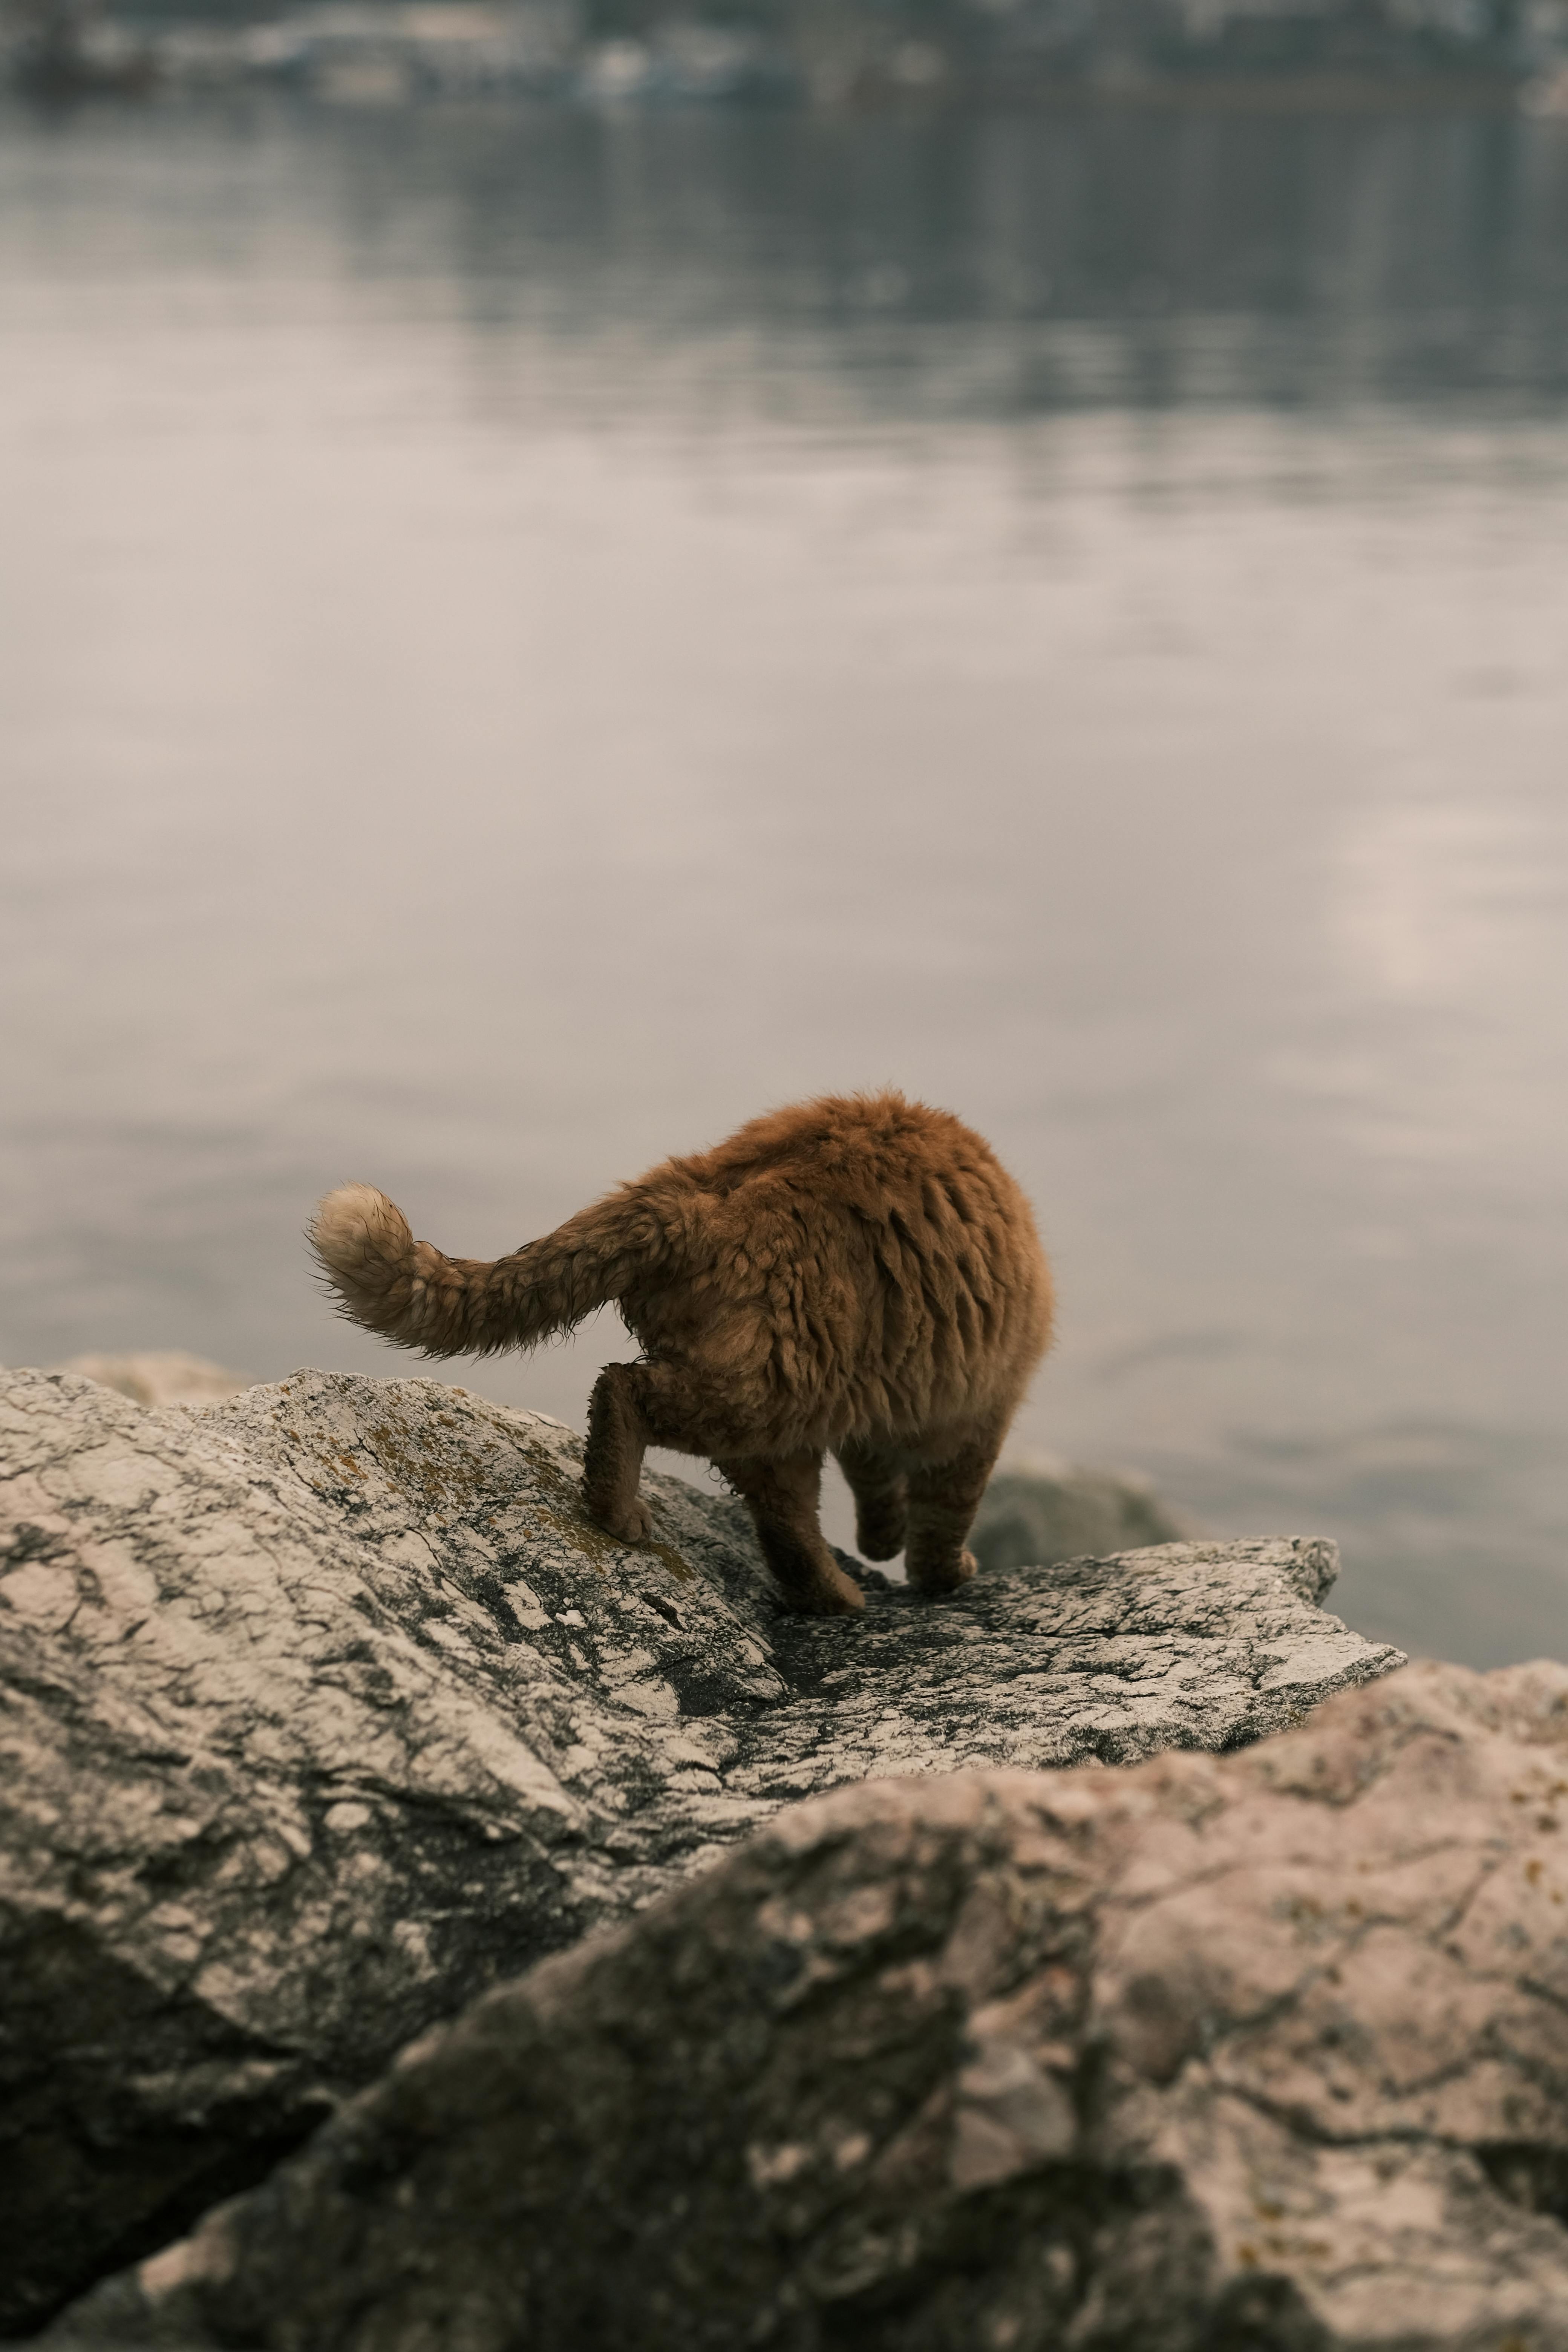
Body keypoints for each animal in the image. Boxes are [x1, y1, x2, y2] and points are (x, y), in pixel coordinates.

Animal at [310, 1086, 1053, 1609]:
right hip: (766, 1393)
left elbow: (877, 1490)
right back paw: (621, 1512)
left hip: (791, 1402)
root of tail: (691, 1188)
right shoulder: (980, 1410)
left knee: (784, 1519)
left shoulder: (879, 1409)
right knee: (623, 1390)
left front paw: (879, 1539)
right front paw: (942, 1573)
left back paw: (834, 1598)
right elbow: (945, 1516)